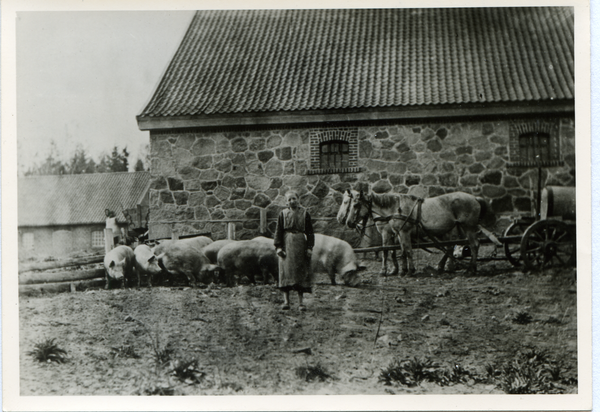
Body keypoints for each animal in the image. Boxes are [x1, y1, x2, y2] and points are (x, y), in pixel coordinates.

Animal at [344, 191, 494, 276]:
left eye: (355, 205)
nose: (348, 222)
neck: (395, 208)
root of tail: (475, 198)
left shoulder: (401, 232)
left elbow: (405, 251)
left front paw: (408, 270)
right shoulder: (399, 233)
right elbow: (402, 251)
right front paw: (402, 270)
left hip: (468, 227)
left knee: (473, 245)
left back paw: (470, 269)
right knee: (452, 246)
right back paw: (446, 266)